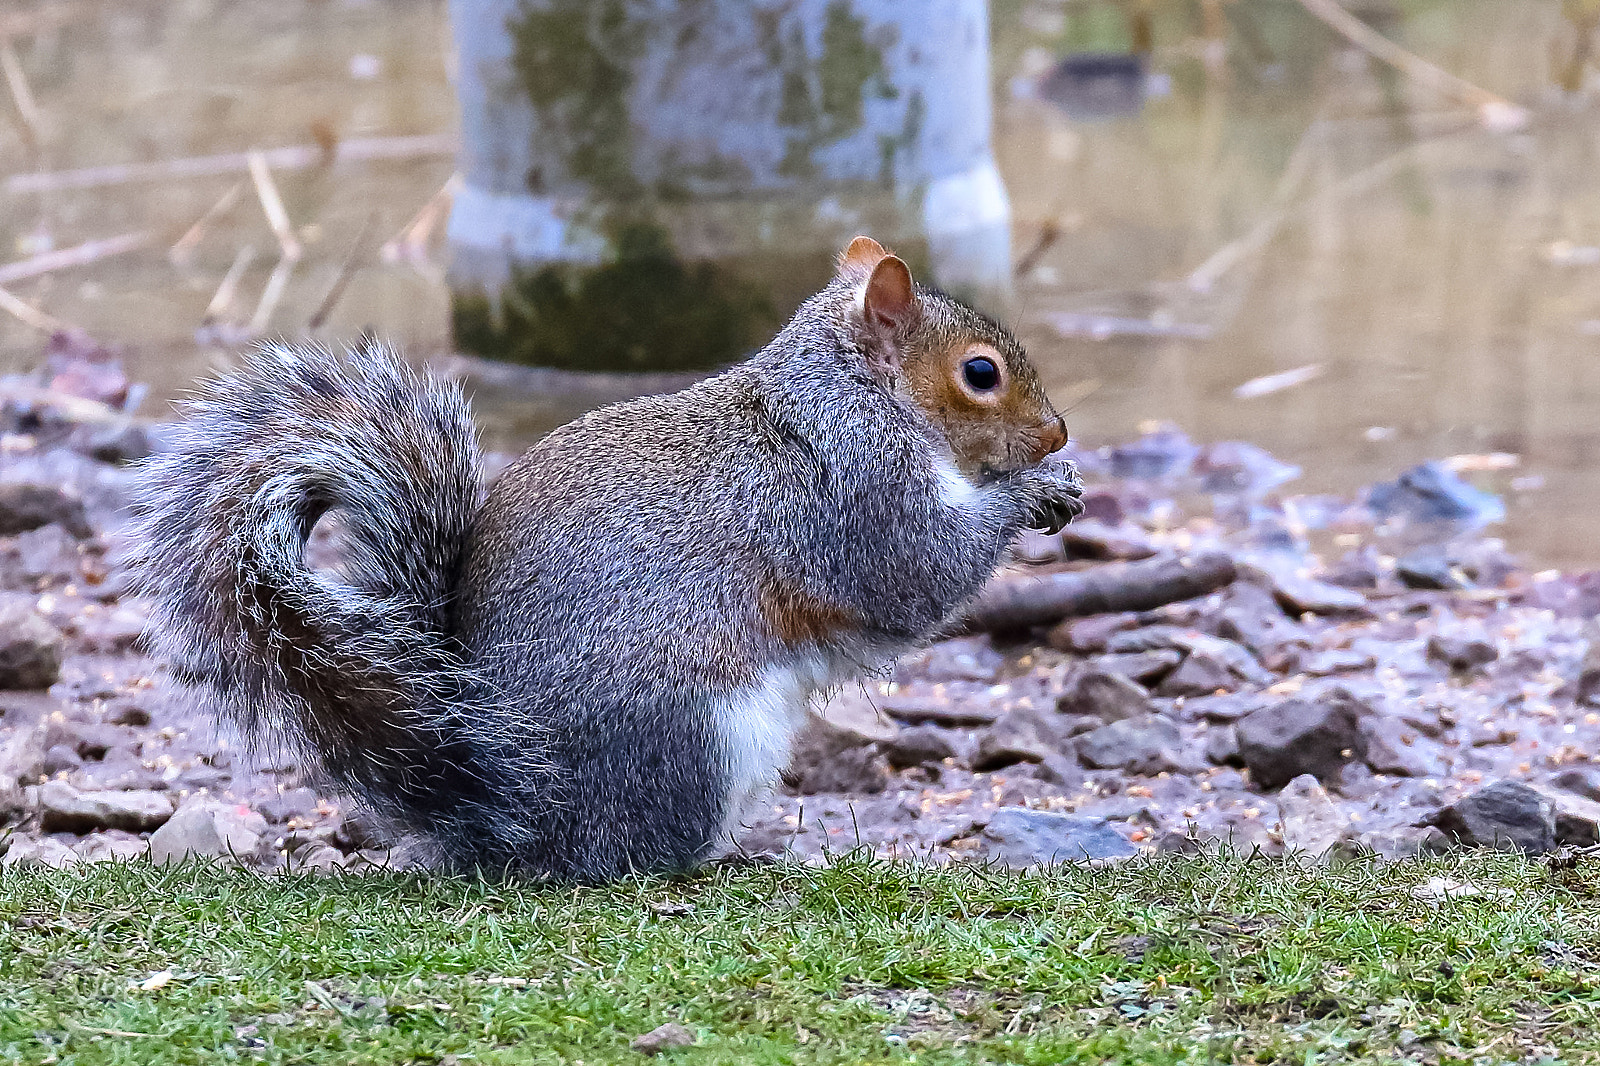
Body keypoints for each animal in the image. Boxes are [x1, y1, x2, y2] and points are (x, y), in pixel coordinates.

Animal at [131, 237, 1083, 882]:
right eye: (981, 373)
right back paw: (723, 860)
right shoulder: (853, 492)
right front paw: (1031, 492)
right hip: (694, 733)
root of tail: (518, 819)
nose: (1058, 433)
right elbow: (916, 574)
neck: (847, 397)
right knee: (637, 853)